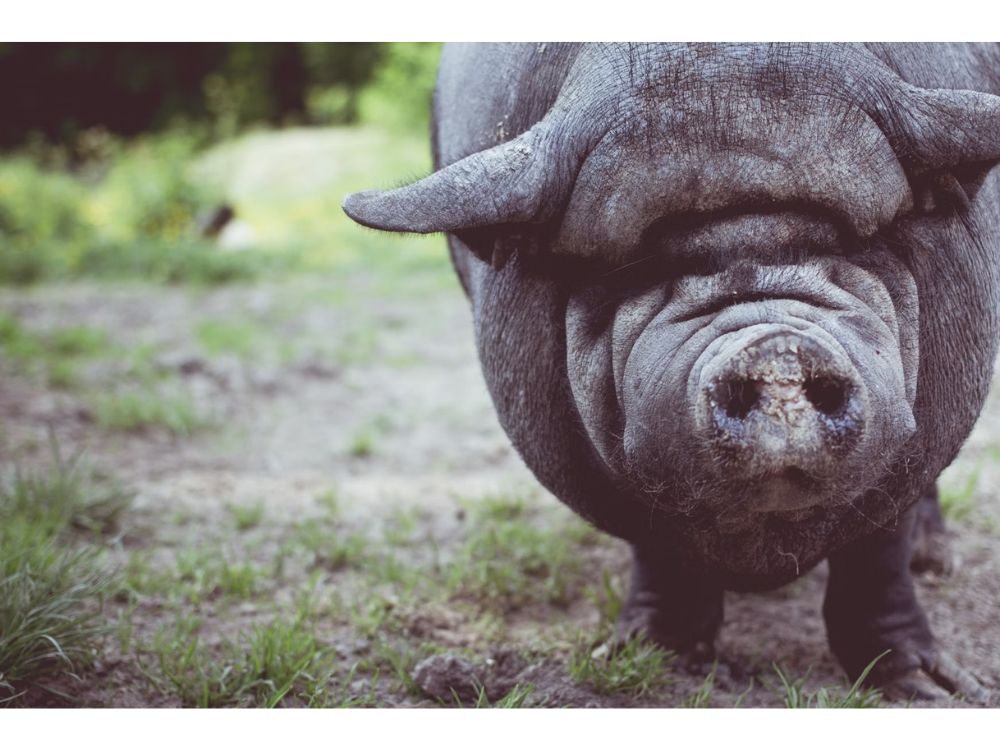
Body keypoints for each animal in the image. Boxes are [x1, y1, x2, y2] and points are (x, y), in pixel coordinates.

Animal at [342, 42, 1000, 704]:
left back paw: (934, 563)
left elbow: (877, 551)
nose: (775, 348)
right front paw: (650, 660)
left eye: (852, 241)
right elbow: (659, 546)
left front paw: (941, 690)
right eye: (639, 263)